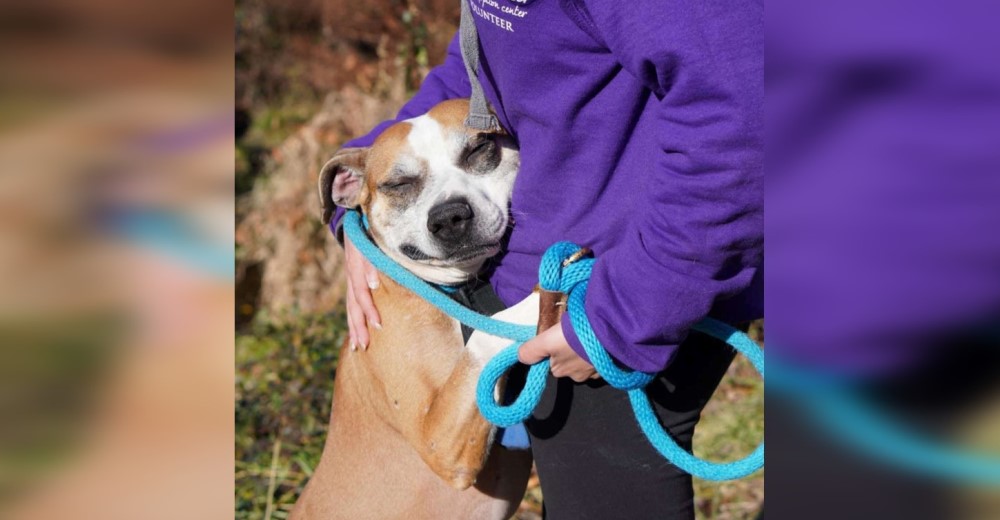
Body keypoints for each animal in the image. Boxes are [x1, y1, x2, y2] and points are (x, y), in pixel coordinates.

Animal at [290, 100, 540, 520]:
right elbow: (489, 330)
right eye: (398, 185)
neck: (456, 292)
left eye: (478, 149)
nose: (449, 216)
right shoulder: (438, 441)